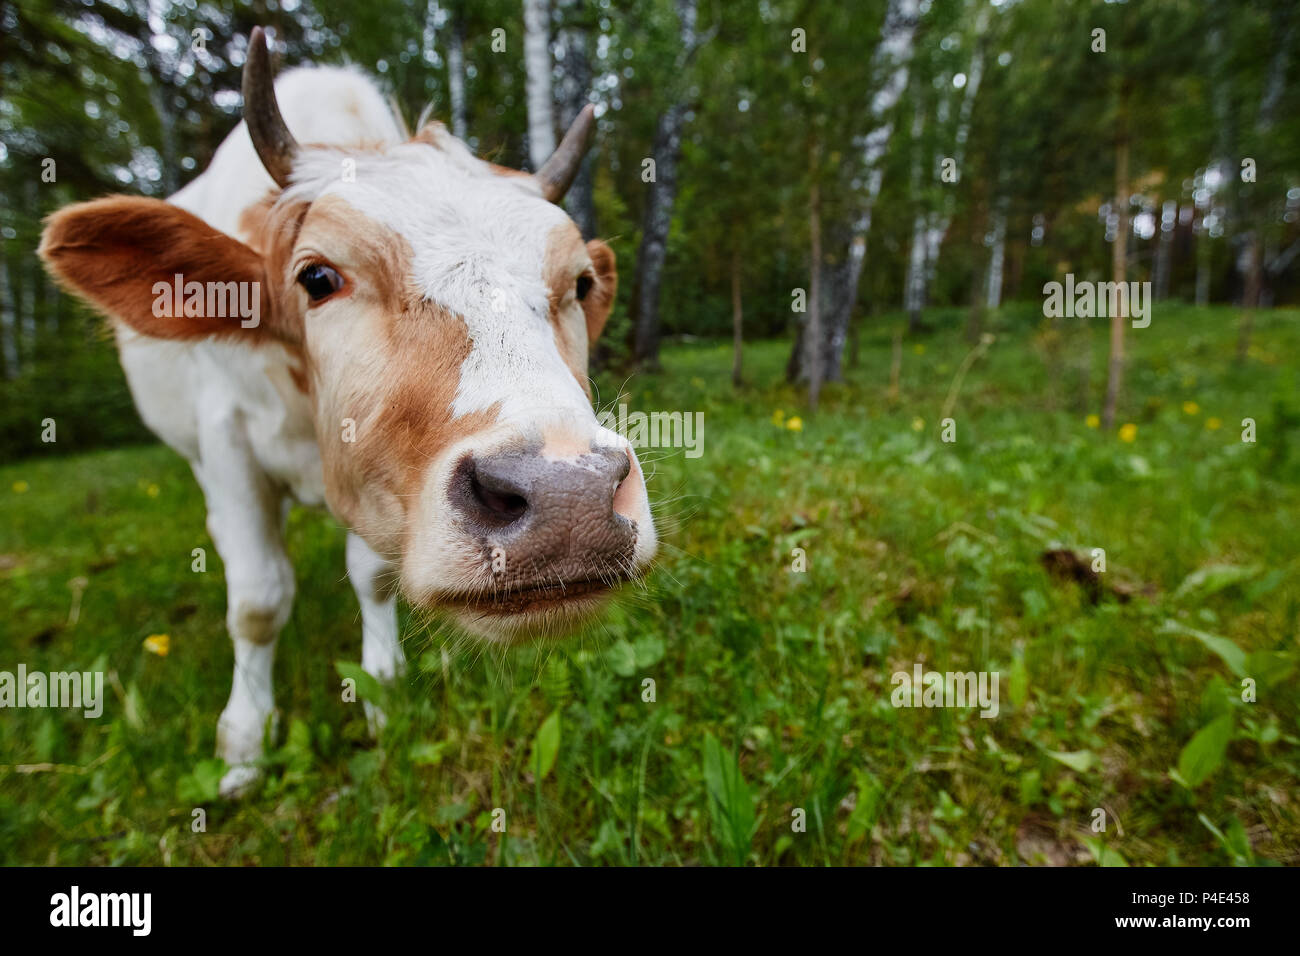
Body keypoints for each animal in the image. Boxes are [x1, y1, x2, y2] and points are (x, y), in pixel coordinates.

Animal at [38, 28, 657, 797]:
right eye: (317, 277)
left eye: (578, 283)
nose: (567, 495)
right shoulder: (227, 440)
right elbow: (258, 600)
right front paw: (244, 744)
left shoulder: (378, 479)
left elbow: (370, 575)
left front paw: (381, 690)